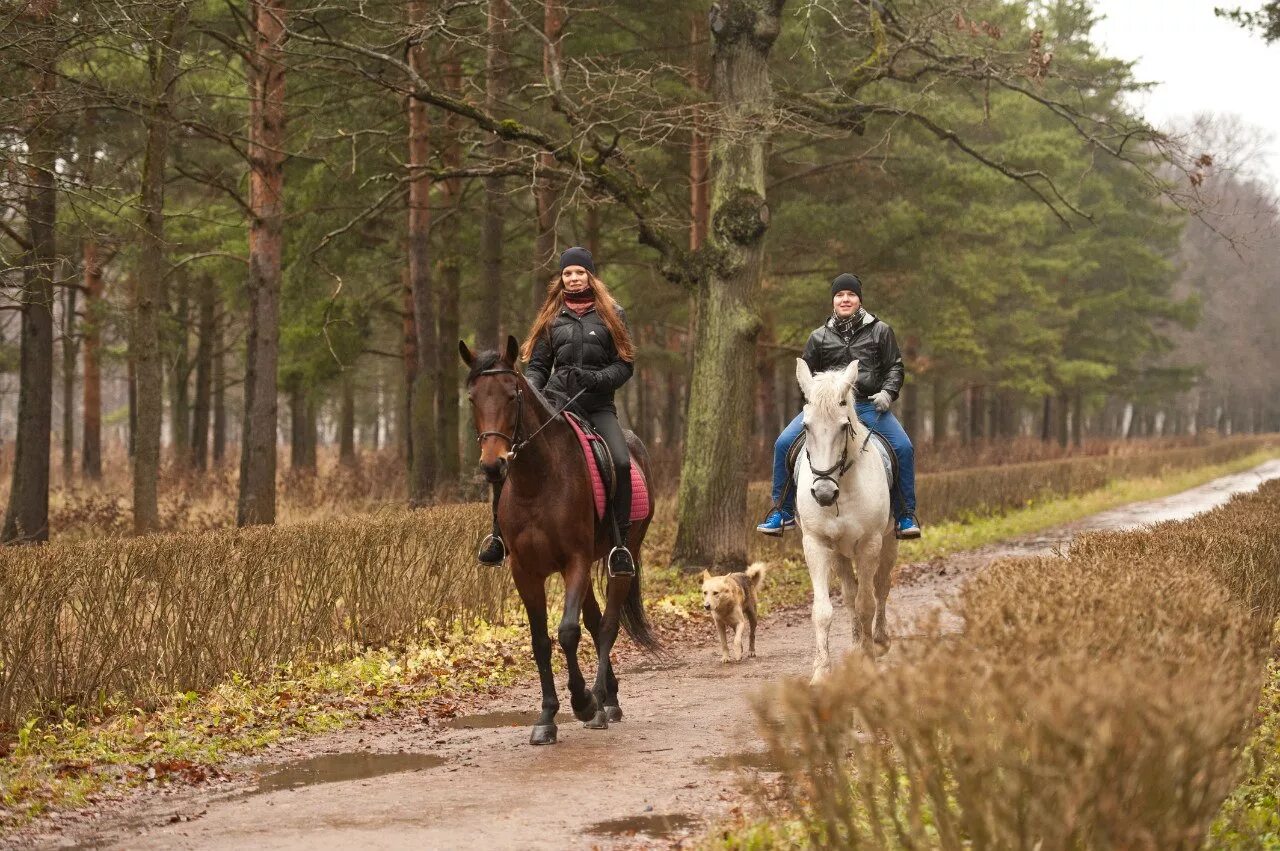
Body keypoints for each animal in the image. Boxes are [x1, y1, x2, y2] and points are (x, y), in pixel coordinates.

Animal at [460, 335, 660, 747]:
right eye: (473, 398)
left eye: (512, 395)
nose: (493, 466)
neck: (538, 481)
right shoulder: (525, 571)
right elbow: (540, 641)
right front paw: (547, 718)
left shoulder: (575, 561)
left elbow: (567, 632)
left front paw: (582, 701)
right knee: (595, 620)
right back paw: (609, 697)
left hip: (623, 557)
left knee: (608, 624)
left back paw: (601, 703)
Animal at [793, 358, 896, 685]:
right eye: (806, 426)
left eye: (843, 426)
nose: (824, 493)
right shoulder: (815, 543)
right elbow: (824, 610)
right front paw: (820, 672)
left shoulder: (870, 544)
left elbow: (867, 603)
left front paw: (869, 661)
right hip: (839, 552)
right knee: (850, 597)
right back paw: (856, 645)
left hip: (889, 543)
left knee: (881, 588)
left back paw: (879, 641)